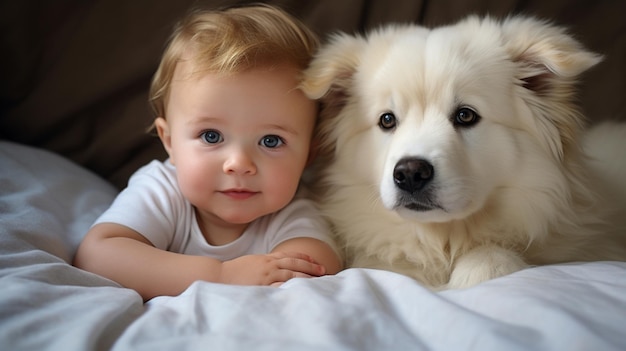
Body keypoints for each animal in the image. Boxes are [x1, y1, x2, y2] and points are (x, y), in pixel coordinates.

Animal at [300, 15, 620, 288]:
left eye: (466, 115)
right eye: (387, 120)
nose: (410, 173)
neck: (444, 240)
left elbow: (489, 258)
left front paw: (480, 267)